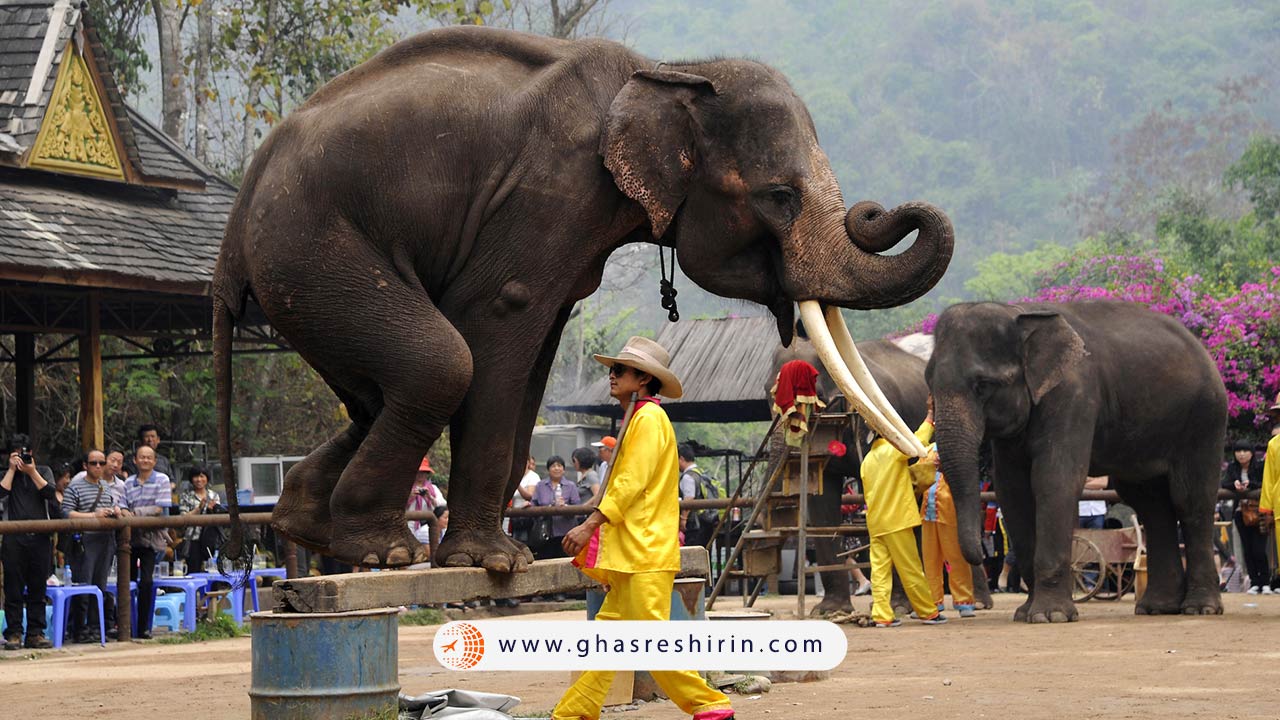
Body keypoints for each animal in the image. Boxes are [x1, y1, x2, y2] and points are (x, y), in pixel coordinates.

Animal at [212, 26, 954, 570]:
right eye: (779, 196)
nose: (874, 210)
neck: (667, 71)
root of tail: (235, 228)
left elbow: (534, 352)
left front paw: (495, 559)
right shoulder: (549, 196)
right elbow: (503, 315)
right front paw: (494, 563)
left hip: (302, 277)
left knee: (375, 393)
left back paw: (306, 527)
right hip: (310, 248)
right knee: (439, 365)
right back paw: (382, 553)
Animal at [768, 335, 992, 615]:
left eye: (815, 396)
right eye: (767, 395)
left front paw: (897, 607)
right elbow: (821, 499)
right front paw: (829, 610)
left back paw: (975, 602)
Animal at [926, 301, 1227, 622]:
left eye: (983, 385)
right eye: (928, 381)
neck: (1020, 313)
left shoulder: (1074, 396)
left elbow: (1054, 479)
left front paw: (1050, 616)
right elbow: (1013, 491)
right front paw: (1025, 613)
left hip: (1204, 418)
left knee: (1191, 500)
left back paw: (1200, 608)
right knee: (1151, 504)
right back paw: (1158, 608)